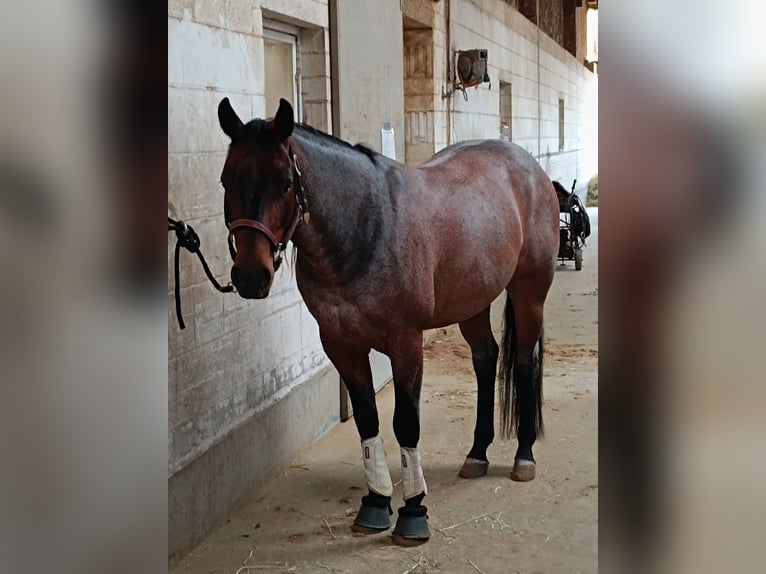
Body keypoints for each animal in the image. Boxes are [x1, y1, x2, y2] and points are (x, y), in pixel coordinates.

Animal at [216, 97, 560, 548]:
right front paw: (377, 504)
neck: (365, 229)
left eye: (286, 182)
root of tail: (529, 166)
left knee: (523, 362)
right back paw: (477, 453)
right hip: (473, 301)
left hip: (528, 294)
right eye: (226, 180)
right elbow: (368, 421)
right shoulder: (341, 346)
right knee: (486, 360)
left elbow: (406, 424)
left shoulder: (405, 343)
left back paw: (524, 456)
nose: (251, 276)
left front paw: (413, 514)